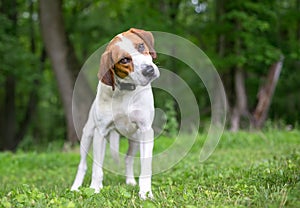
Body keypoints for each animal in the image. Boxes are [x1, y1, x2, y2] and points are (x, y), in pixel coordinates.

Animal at [71, 28, 159, 199]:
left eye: (141, 46)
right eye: (124, 60)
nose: (149, 70)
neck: (125, 91)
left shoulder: (146, 130)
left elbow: (145, 165)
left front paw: (145, 192)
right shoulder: (100, 132)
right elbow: (96, 169)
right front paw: (94, 189)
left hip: (135, 139)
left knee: (128, 159)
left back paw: (130, 181)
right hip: (88, 135)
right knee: (83, 164)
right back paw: (75, 187)